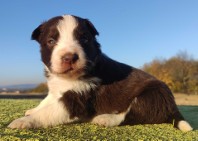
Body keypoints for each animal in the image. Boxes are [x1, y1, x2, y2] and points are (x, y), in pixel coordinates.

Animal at [8, 14, 193, 131]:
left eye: (84, 39)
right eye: (51, 41)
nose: (69, 57)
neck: (67, 79)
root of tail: (173, 106)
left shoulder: (77, 98)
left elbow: (48, 112)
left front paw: (23, 121)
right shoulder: (57, 90)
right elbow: (46, 102)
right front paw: (32, 110)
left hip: (150, 96)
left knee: (131, 114)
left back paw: (105, 118)